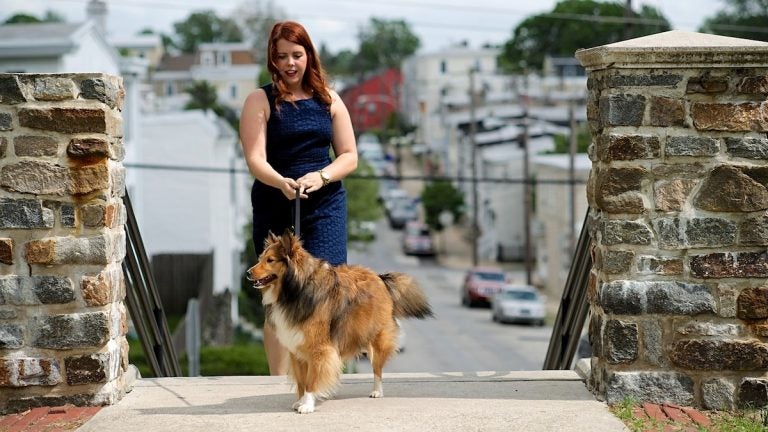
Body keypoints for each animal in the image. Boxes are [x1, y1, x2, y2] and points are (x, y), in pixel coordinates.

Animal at [249, 231, 436, 414]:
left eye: (270, 260)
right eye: (261, 258)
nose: (248, 273)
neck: (296, 291)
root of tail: (379, 277)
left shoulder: (318, 349)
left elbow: (310, 380)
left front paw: (307, 405)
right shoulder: (295, 349)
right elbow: (301, 381)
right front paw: (300, 401)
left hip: (377, 339)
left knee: (377, 369)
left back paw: (377, 391)